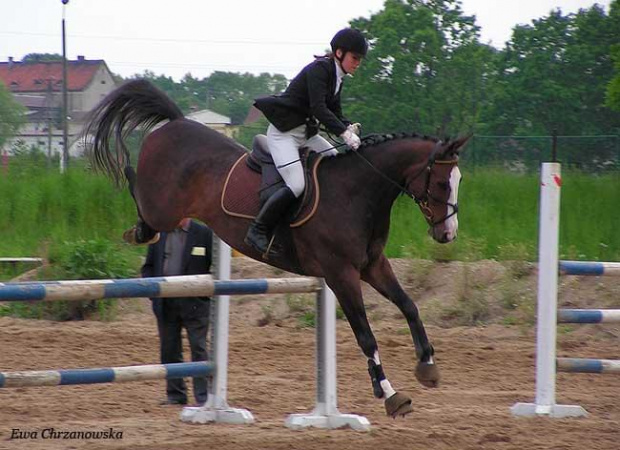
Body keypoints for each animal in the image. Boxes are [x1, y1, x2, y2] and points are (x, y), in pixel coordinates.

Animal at [83, 80, 470, 418]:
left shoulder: (372, 265)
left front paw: (427, 366)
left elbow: (409, 306)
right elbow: (365, 336)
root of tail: (176, 123)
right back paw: (135, 219)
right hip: (163, 209)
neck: (357, 193)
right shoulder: (341, 274)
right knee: (136, 189)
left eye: (458, 180)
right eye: (440, 182)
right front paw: (390, 394)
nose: (447, 234)